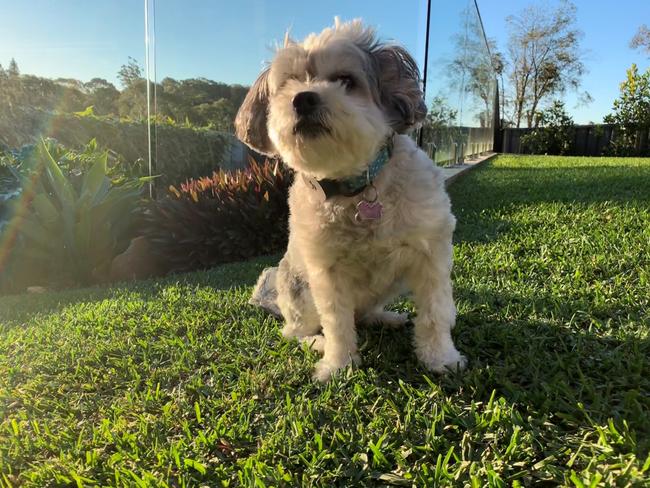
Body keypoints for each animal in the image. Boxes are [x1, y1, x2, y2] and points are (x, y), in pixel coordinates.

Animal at [235, 18, 464, 382]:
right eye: (288, 83)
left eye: (345, 80)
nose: (303, 99)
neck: (357, 188)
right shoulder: (326, 272)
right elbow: (337, 323)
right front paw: (338, 365)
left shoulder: (431, 253)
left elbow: (435, 312)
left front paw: (441, 358)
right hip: (298, 292)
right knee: (294, 332)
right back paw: (316, 342)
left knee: (365, 313)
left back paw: (386, 317)